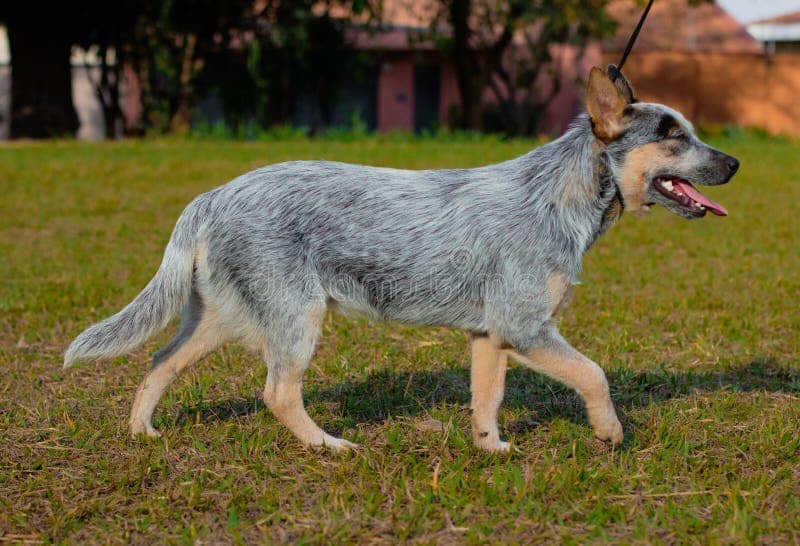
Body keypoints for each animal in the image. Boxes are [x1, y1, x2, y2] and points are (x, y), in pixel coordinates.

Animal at [65, 68, 740, 450]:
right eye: (673, 136)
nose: (734, 163)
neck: (560, 196)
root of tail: (212, 195)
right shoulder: (526, 328)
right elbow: (594, 374)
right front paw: (609, 432)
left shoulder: (491, 336)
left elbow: (487, 399)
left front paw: (491, 450)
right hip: (297, 319)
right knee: (277, 392)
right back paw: (329, 446)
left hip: (222, 319)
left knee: (160, 361)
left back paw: (142, 433)